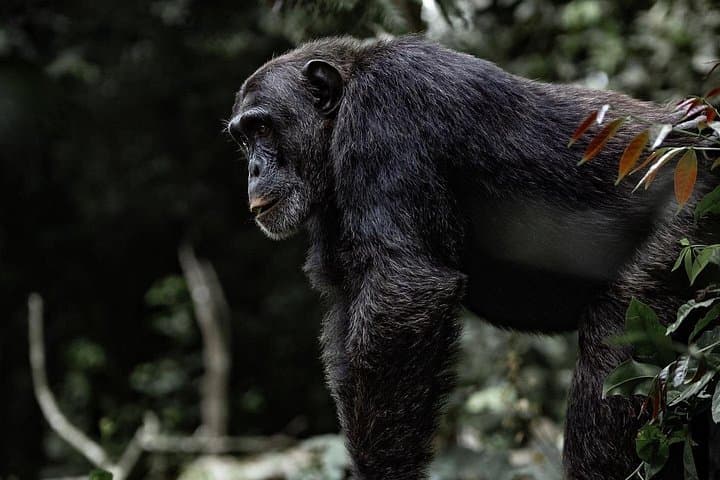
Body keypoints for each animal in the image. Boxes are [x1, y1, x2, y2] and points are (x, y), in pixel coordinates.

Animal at [228, 36, 717, 479]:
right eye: (244, 138)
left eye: (263, 129)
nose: (253, 169)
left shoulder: (387, 110)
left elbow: (402, 293)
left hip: (691, 207)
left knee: (619, 325)